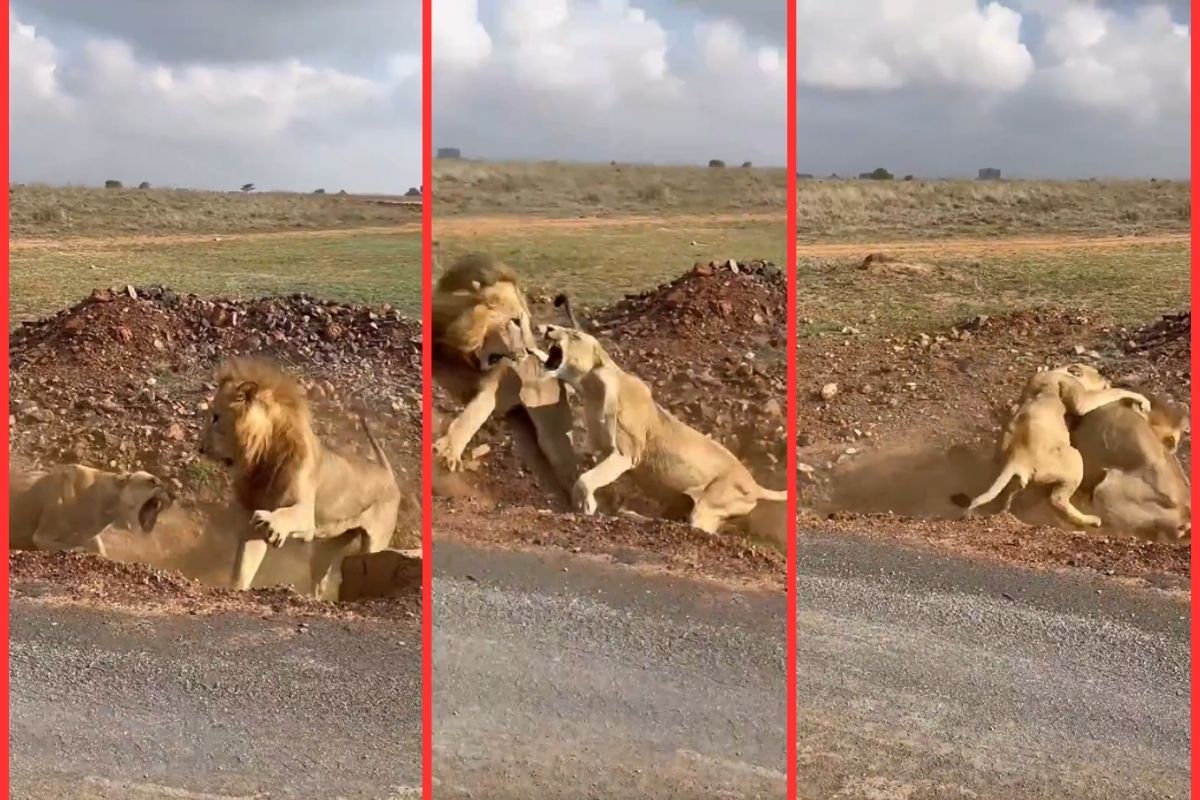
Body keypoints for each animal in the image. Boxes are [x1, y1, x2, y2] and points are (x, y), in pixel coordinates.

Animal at [198, 358, 401, 595]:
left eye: (216, 417)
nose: (200, 448)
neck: (262, 458)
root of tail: (388, 474)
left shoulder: (306, 516)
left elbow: (286, 515)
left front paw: (272, 525)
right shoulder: (251, 527)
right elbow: (243, 568)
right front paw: (236, 589)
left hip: (375, 543)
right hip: (327, 546)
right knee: (319, 582)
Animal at [431, 253, 578, 502]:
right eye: (515, 322)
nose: (528, 352)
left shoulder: (492, 386)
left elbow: (472, 416)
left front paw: (449, 450)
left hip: (555, 436)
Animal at [541, 324, 788, 533]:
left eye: (575, 335)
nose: (549, 328)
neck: (592, 387)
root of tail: (756, 485)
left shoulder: (625, 454)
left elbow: (586, 479)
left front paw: (586, 505)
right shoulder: (606, 451)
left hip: (709, 503)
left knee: (699, 528)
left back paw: (635, 516)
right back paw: (630, 514)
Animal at [953, 364, 1150, 527]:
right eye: (1098, 374)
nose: (1108, 378)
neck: (1059, 370)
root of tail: (1017, 458)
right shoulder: (1080, 397)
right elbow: (1114, 393)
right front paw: (1142, 401)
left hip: (1014, 478)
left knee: (1009, 496)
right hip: (1074, 460)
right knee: (1057, 500)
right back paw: (1091, 520)